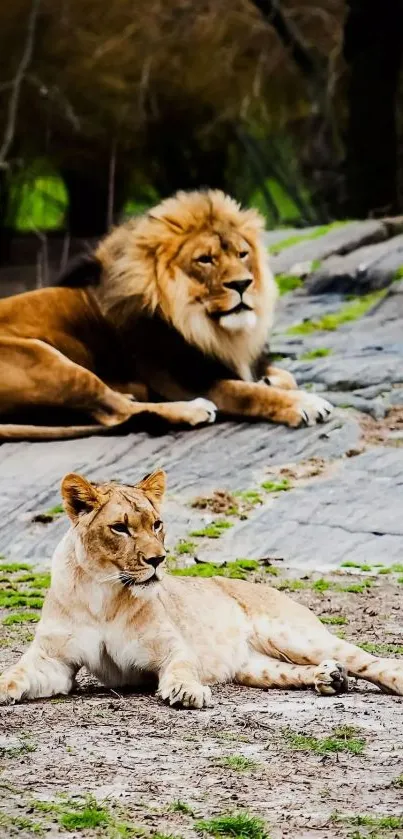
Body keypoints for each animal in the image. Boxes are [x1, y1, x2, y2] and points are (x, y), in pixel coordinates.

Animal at [0, 190, 334, 440]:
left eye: (242, 254)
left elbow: (285, 377)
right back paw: (190, 410)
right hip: (47, 360)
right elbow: (248, 393)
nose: (243, 284)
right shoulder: (186, 382)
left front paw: (270, 380)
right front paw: (305, 403)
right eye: (205, 259)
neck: (203, 324)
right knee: (115, 411)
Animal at [1, 470, 402, 704]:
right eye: (120, 528)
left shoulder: (172, 647)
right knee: (297, 670)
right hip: (254, 667)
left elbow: (181, 667)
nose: (158, 559)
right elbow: (16, 674)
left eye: (157, 523)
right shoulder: (53, 661)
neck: (103, 591)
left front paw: (186, 691)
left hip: (295, 636)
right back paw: (329, 677)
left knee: (373, 660)